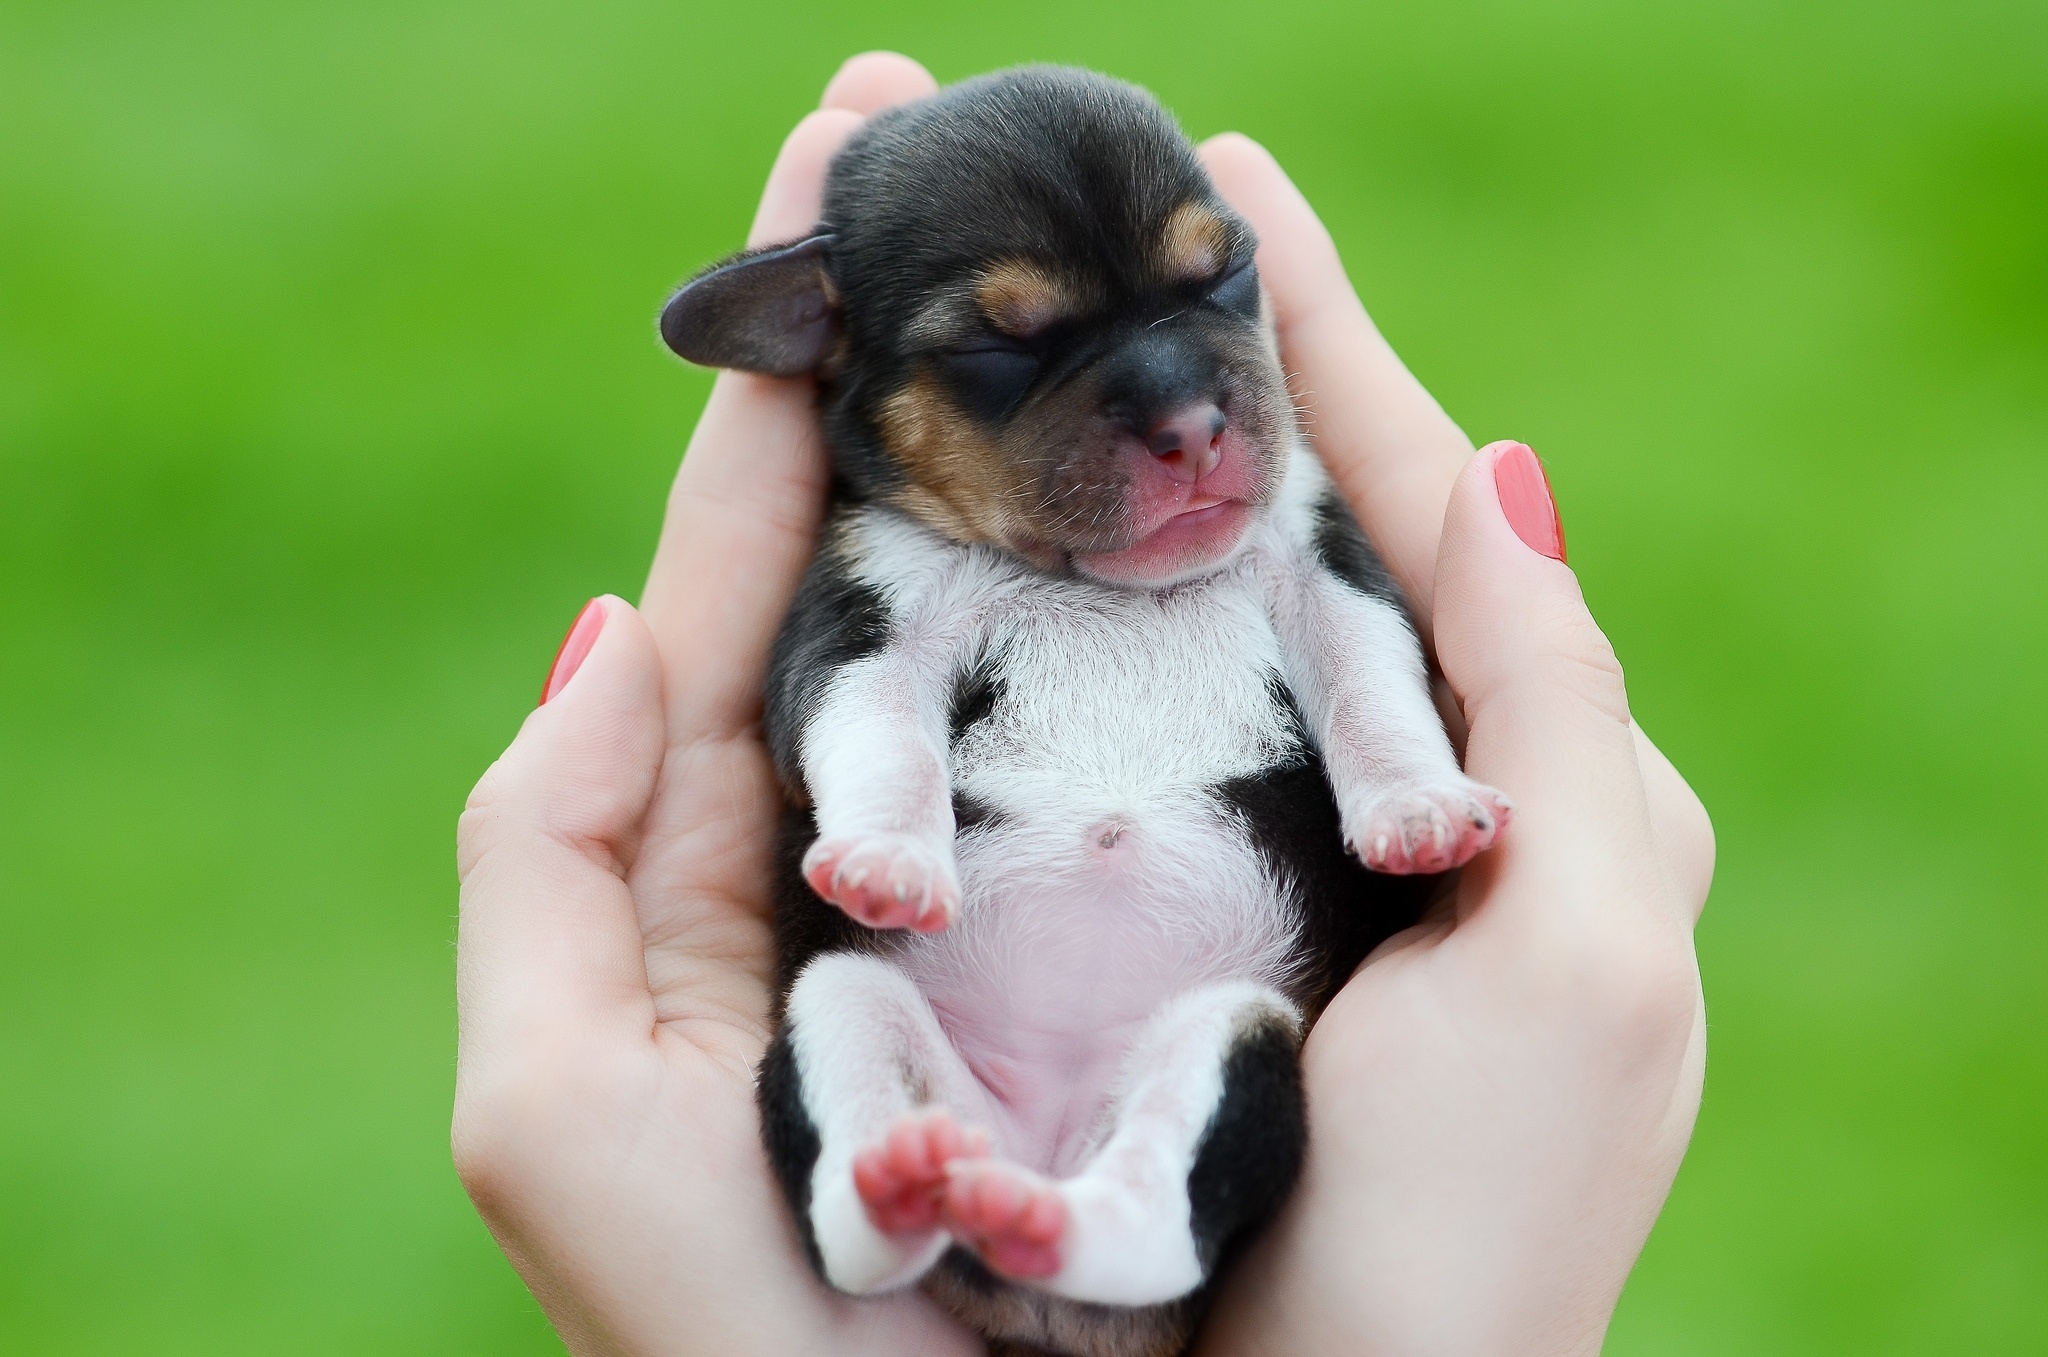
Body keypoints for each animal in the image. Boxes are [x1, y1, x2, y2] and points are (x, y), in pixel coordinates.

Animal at [663, 66, 1515, 1357]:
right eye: (996, 344)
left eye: (1224, 274)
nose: (1191, 426)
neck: (1110, 589)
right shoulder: (859, 622)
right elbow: (873, 730)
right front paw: (887, 859)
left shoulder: (1323, 563)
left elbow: (1374, 685)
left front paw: (1416, 813)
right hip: (842, 1005)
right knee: (858, 1232)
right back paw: (905, 1182)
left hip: (1230, 1038)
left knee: (1147, 1215)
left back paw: (1039, 1215)